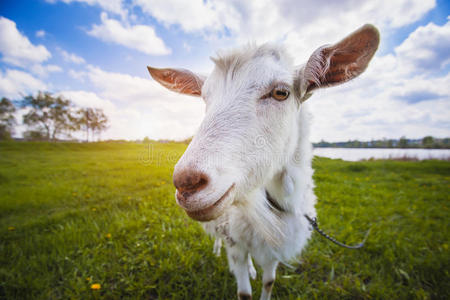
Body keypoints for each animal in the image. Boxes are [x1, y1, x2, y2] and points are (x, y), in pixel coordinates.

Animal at [148, 24, 380, 300]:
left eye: (281, 92)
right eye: (205, 99)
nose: (186, 182)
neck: (278, 204)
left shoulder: (273, 249)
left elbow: (269, 281)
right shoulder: (235, 242)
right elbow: (244, 294)